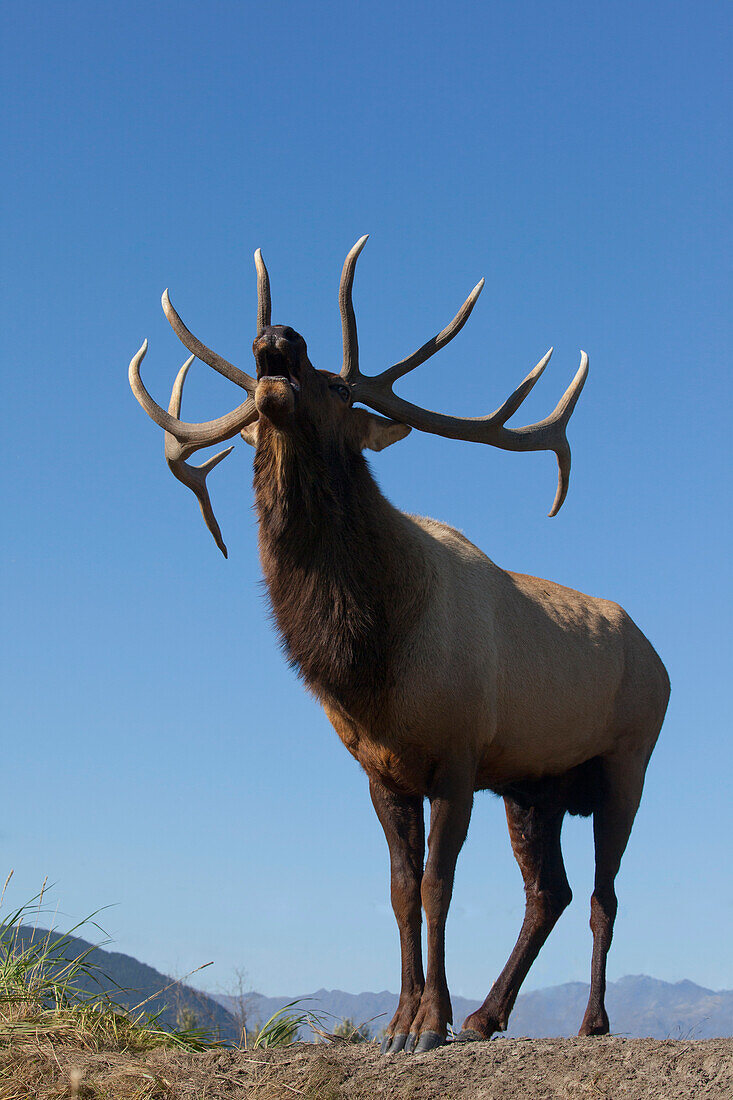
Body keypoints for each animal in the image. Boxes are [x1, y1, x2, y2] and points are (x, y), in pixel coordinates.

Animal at [127, 238, 669, 1047]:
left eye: (333, 385)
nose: (277, 335)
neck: (371, 671)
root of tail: (661, 659)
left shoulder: (459, 753)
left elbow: (439, 886)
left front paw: (428, 1023)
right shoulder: (382, 772)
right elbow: (398, 889)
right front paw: (400, 1020)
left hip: (626, 761)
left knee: (604, 893)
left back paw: (590, 1022)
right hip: (533, 785)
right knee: (552, 892)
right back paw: (486, 1015)